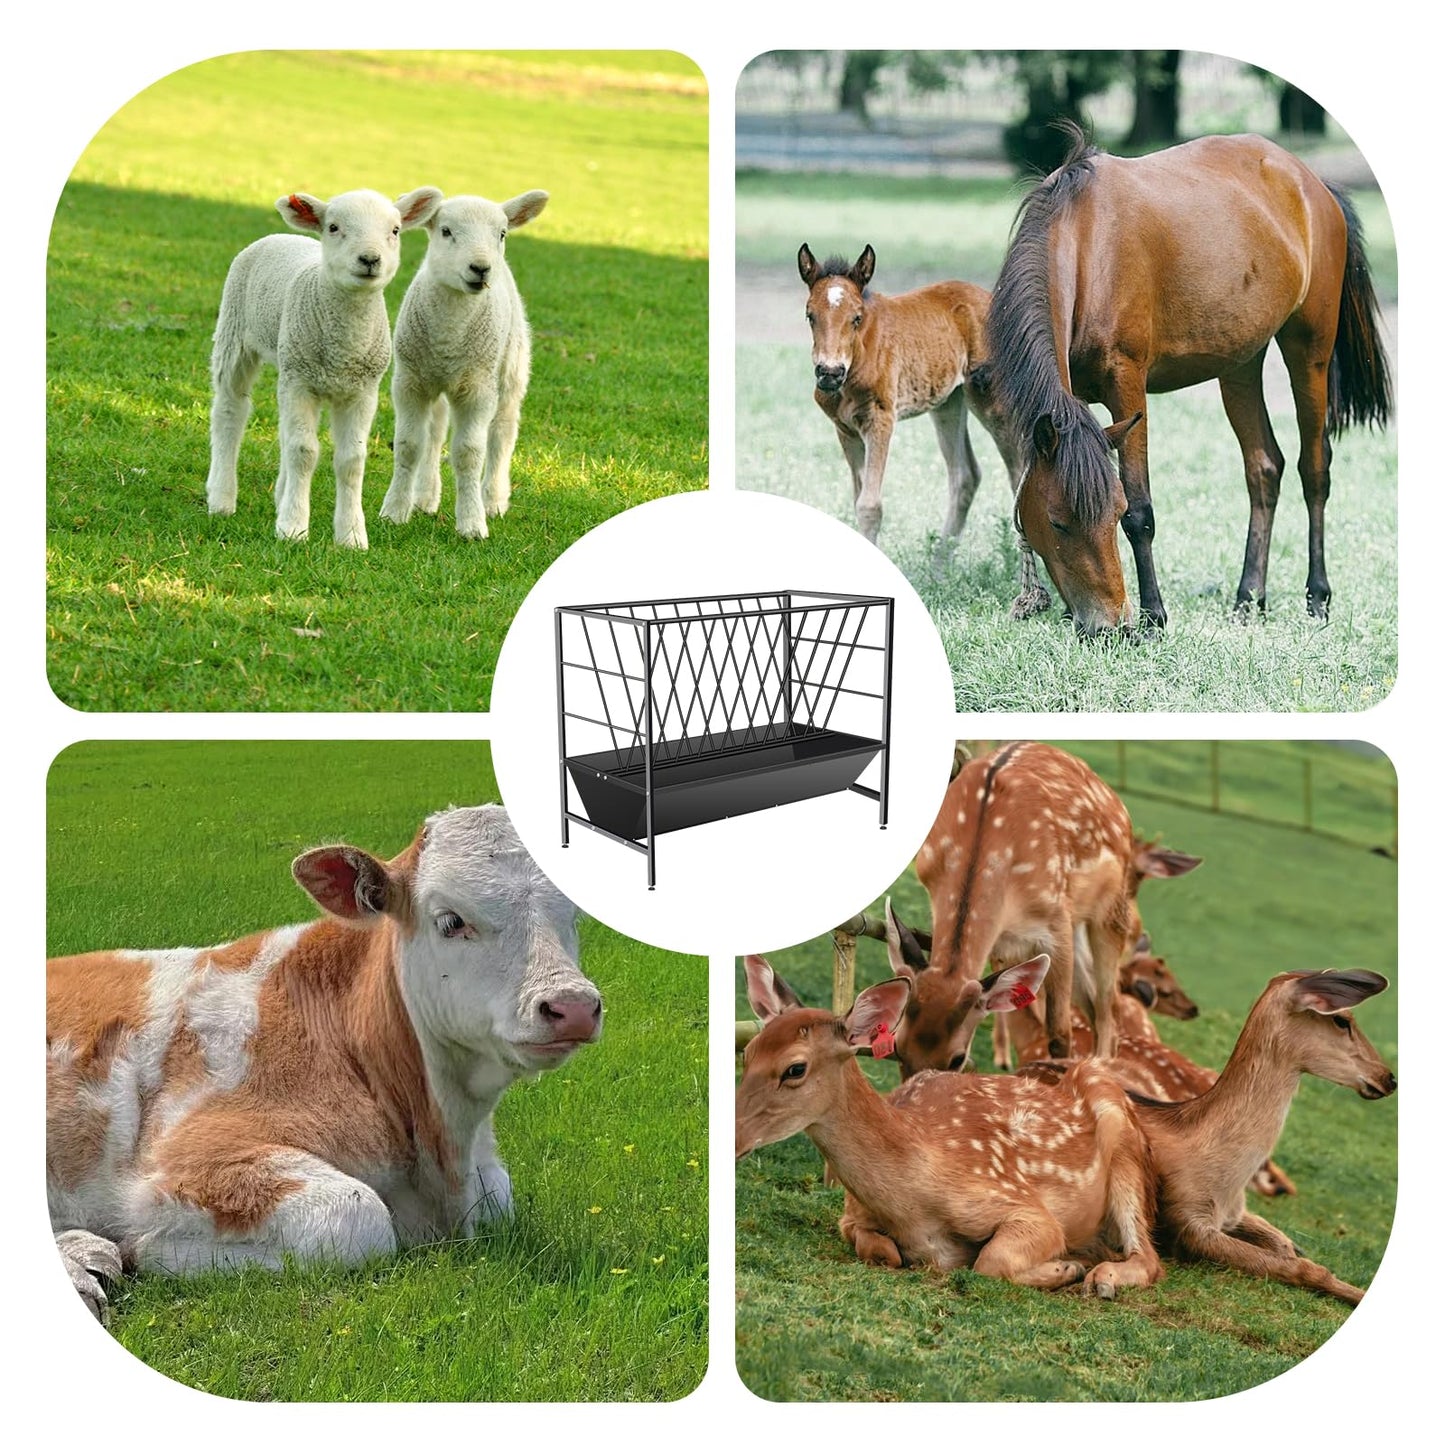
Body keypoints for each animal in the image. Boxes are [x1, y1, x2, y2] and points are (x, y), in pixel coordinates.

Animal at [205, 187, 443, 548]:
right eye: (333, 227)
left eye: (395, 230)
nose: (370, 259)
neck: (343, 347)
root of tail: (281, 235)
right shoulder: (302, 383)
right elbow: (304, 451)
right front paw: (293, 528)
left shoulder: (361, 390)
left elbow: (350, 460)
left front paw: (351, 535)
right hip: (236, 333)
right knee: (230, 411)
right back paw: (221, 497)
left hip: (291, 361)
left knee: (283, 429)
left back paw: (280, 494)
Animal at [379, 189, 549, 540]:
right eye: (446, 231)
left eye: (502, 234)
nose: (481, 268)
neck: (450, 335)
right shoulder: (409, 382)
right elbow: (409, 445)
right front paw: (395, 510)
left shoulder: (478, 388)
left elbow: (469, 453)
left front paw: (472, 524)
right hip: (436, 379)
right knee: (435, 433)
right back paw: (425, 496)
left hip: (509, 368)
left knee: (502, 432)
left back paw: (493, 500)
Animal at [798, 243, 1049, 617]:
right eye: (810, 315)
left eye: (856, 317)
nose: (829, 372)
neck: (859, 356)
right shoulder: (845, 430)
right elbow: (858, 498)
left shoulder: (881, 420)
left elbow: (870, 504)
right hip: (948, 403)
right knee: (965, 476)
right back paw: (938, 570)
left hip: (990, 401)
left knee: (1017, 472)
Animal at [984, 125, 1393, 636]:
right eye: (1057, 523)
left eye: (1113, 513)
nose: (1107, 626)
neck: (1086, 247)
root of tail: (1313, 184)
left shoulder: (1127, 385)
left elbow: (1142, 510)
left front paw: (1154, 617)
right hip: (1240, 363)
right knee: (1264, 468)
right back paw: (1248, 599)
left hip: (1309, 351)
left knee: (1313, 468)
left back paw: (1317, 598)